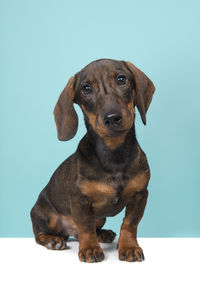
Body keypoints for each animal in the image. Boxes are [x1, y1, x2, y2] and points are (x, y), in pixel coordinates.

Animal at [30, 59, 155, 262]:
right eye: (86, 88)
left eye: (122, 79)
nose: (112, 118)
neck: (114, 154)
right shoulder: (80, 200)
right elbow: (86, 227)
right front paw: (89, 248)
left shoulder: (140, 195)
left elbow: (130, 223)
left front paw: (129, 246)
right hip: (47, 217)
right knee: (40, 234)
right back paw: (53, 240)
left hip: (101, 217)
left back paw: (103, 234)